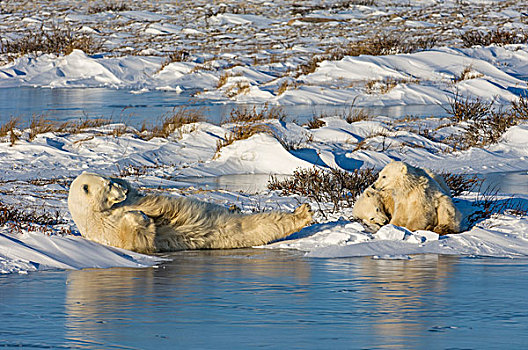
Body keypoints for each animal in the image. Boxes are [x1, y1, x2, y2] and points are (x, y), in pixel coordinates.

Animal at [67, 173, 312, 253]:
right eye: (108, 187)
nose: (122, 191)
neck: (97, 213)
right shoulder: (105, 231)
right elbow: (137, 241)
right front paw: (140, 216)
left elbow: (138, 197)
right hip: (227, 234)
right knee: (260, 226)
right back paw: (304, 214)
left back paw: (303, 211)